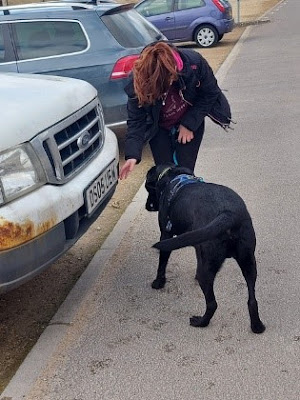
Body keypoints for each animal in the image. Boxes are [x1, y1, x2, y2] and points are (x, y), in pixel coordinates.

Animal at [145, 163, 264, 334]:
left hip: (208, 271)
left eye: (147, 187)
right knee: (252, 300)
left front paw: (158, 282)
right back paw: (257, 326)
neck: (172, 176)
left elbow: (162, 263)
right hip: (248, 262)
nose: (147, 207)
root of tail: (228, 215)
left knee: (212, 303)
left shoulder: (165, 235)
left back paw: (200, 322)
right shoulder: (198, 244)